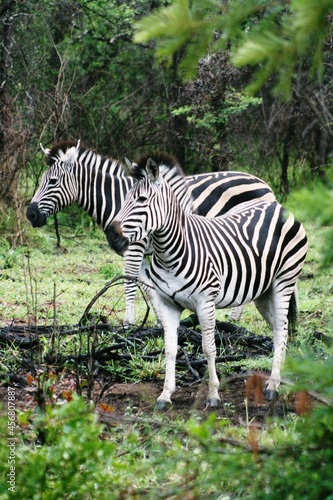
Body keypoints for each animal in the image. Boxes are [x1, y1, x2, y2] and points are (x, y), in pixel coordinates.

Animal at [26, 140, 274, 328]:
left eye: (52, 181)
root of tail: (265, 185)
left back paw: (233, 319)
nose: (31, 214)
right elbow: (150, 287)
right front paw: (160, 319)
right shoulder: (147, 252)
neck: (117, 200)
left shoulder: (134, 247)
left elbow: (130, 282)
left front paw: (128, 323)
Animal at [107, 154, 308, 408]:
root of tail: (278, 205)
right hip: (263, 290)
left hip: (285, 279)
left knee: (281, 329)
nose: (111, 236)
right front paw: (165, 394)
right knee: (276, 331)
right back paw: (280, 378)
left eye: (142, 199)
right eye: (124, 199)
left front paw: (213, 394)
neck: (171, 251)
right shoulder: (167, 304)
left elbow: (209, 348)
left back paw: (273, 386)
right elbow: (171, 349)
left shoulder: (205, 302)